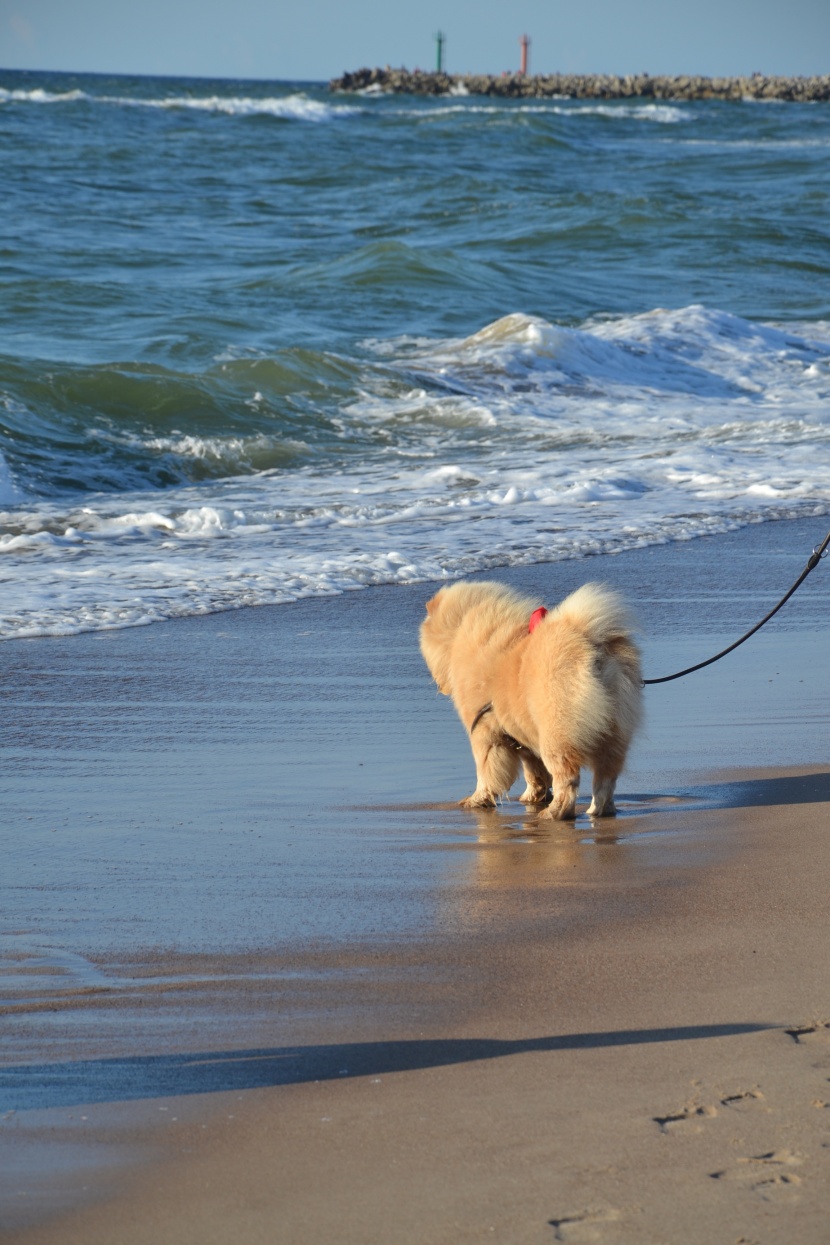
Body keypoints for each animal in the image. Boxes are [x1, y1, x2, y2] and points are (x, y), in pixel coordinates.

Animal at [423, 580, 642, 816]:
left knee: (568, 778)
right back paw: (598, 810)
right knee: (605, 779)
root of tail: (592, 645)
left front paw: (476, 799)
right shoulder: (524, 738)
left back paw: (554, 812)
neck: (457, 634)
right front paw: (533, 796)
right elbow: (535, 771)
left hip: (557, 732)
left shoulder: (484, 732)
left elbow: (486, 770)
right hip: (613, 733)